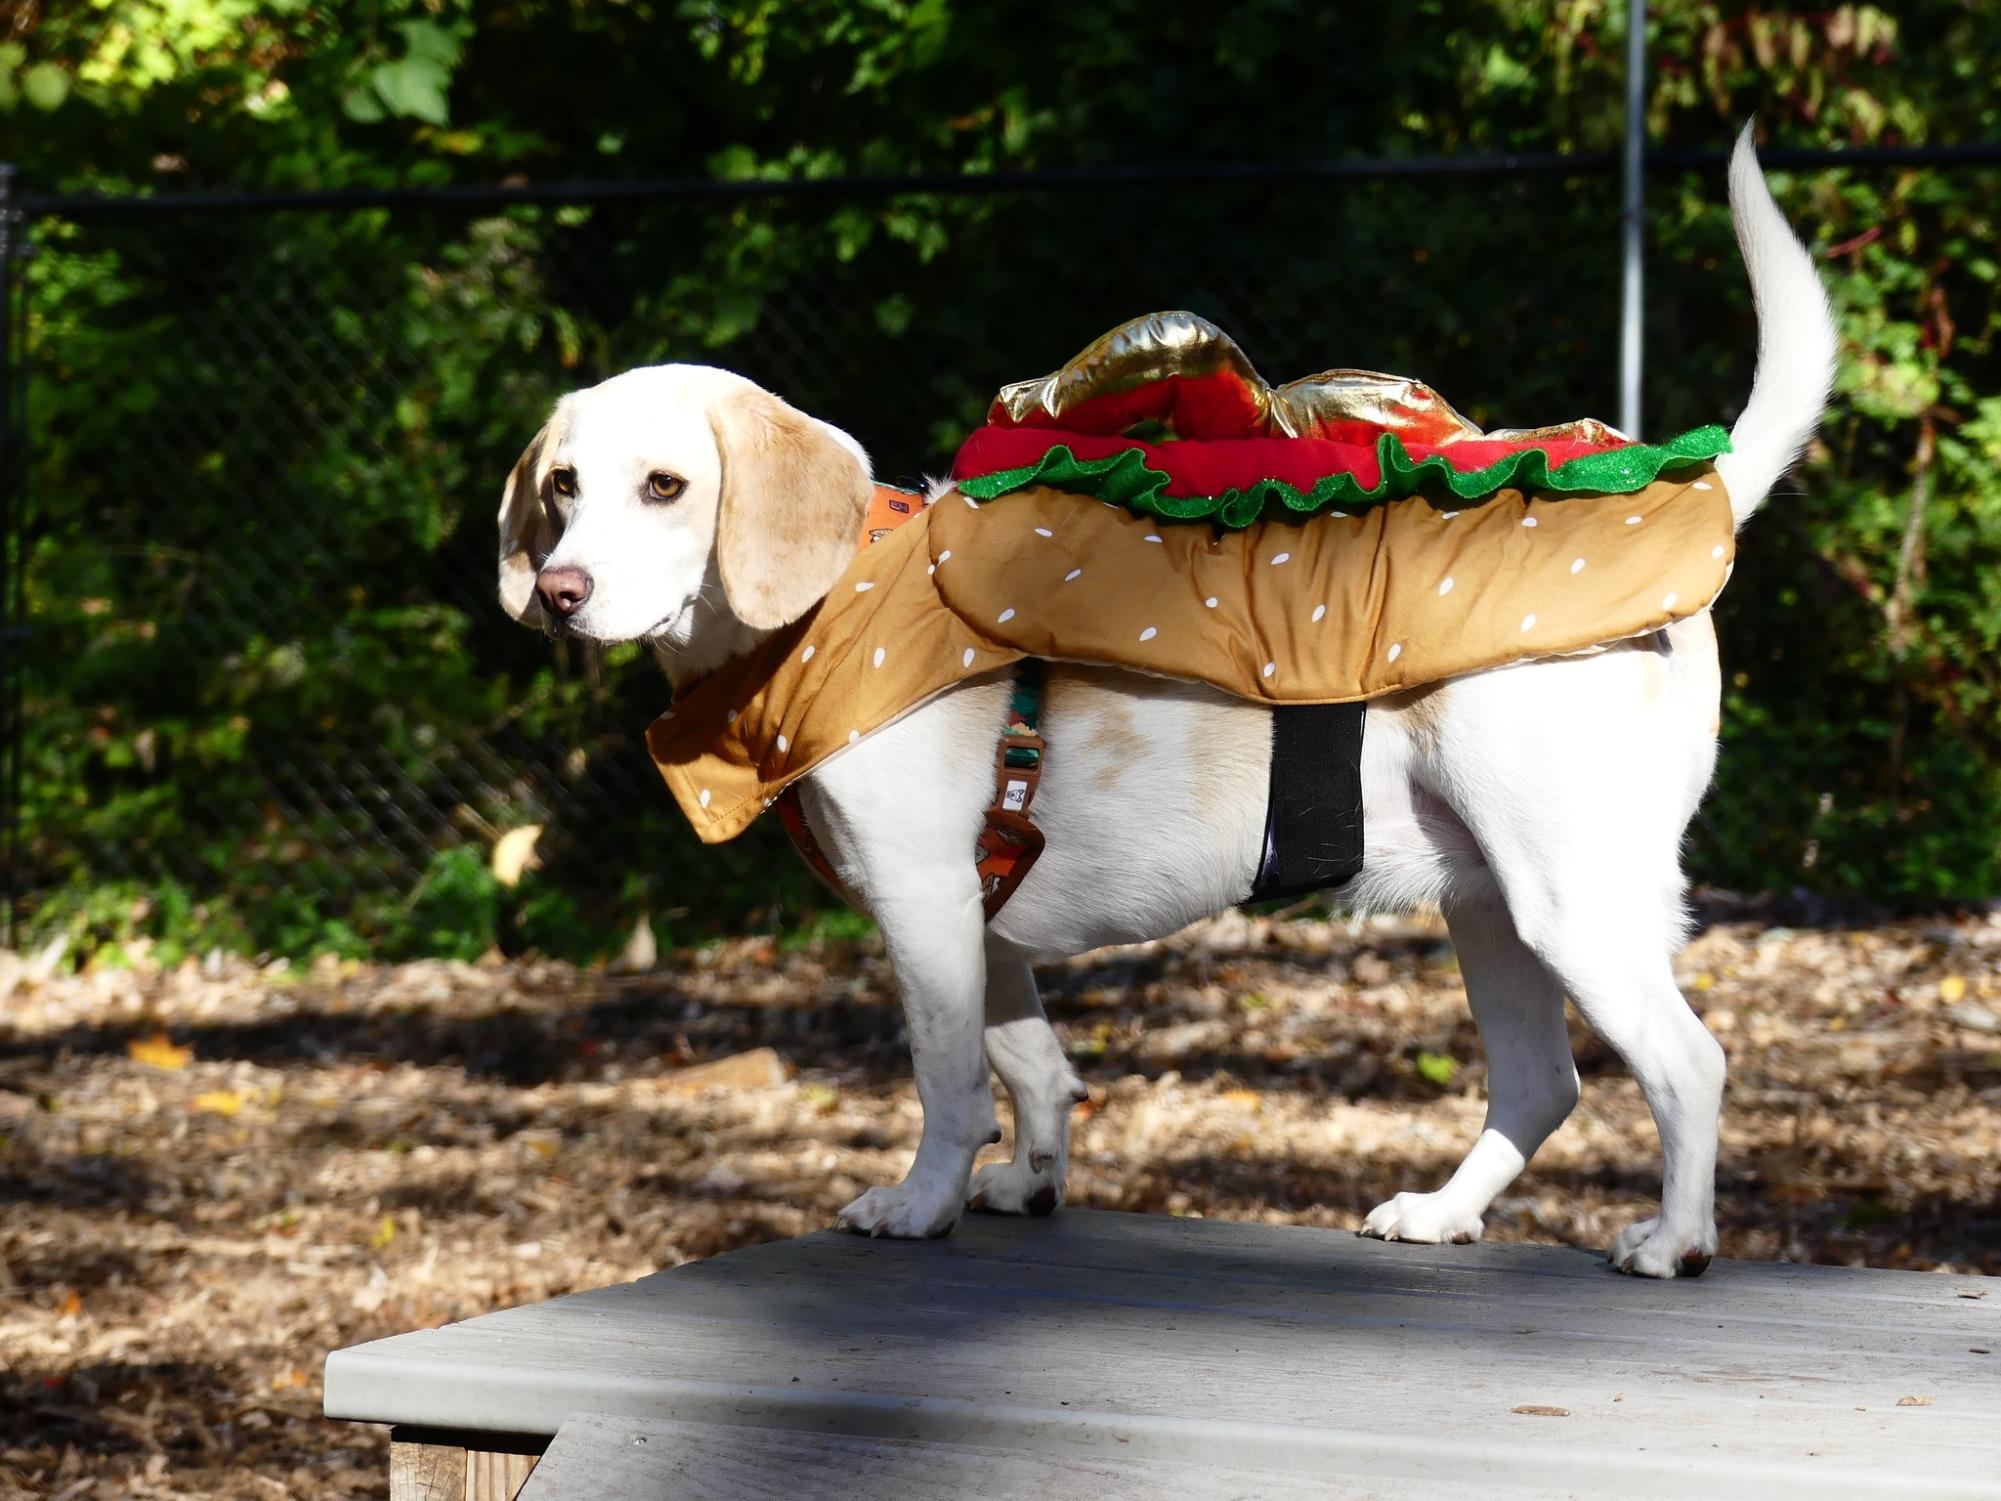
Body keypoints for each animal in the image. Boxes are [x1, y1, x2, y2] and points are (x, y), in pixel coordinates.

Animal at [496, 129, 1832, 1280]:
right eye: (561, 487)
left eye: (666, 486)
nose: (559, 594)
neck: (830, 606)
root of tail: (1695, 502)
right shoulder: (980, 928)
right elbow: (1032, 1069)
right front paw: (1031, 1183)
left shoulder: (924, 907)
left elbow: (949, 1086)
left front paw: (922, 1205)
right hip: (1491, 909)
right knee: (1543, 1083)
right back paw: (1443, 1212)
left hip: (1574, 906)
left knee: (1688, 1063)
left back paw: (1675, 1241)